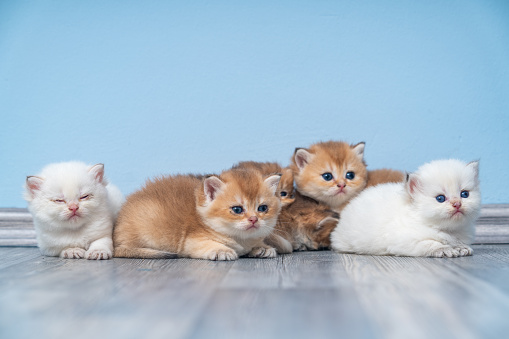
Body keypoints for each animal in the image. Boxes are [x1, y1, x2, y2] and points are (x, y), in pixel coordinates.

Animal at [113, 169, 282, 262]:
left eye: (262, 208)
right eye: (237, 209)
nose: (254, 219)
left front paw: (262, 248)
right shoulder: (191, 241)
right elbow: (208, 244)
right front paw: (222, 251)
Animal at [330, 159, 480, 258]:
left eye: (464, 194)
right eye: (440, 198)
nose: (457, 204)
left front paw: (461, 247)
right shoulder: (405, 241)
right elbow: (430, 243)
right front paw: (444, 249)